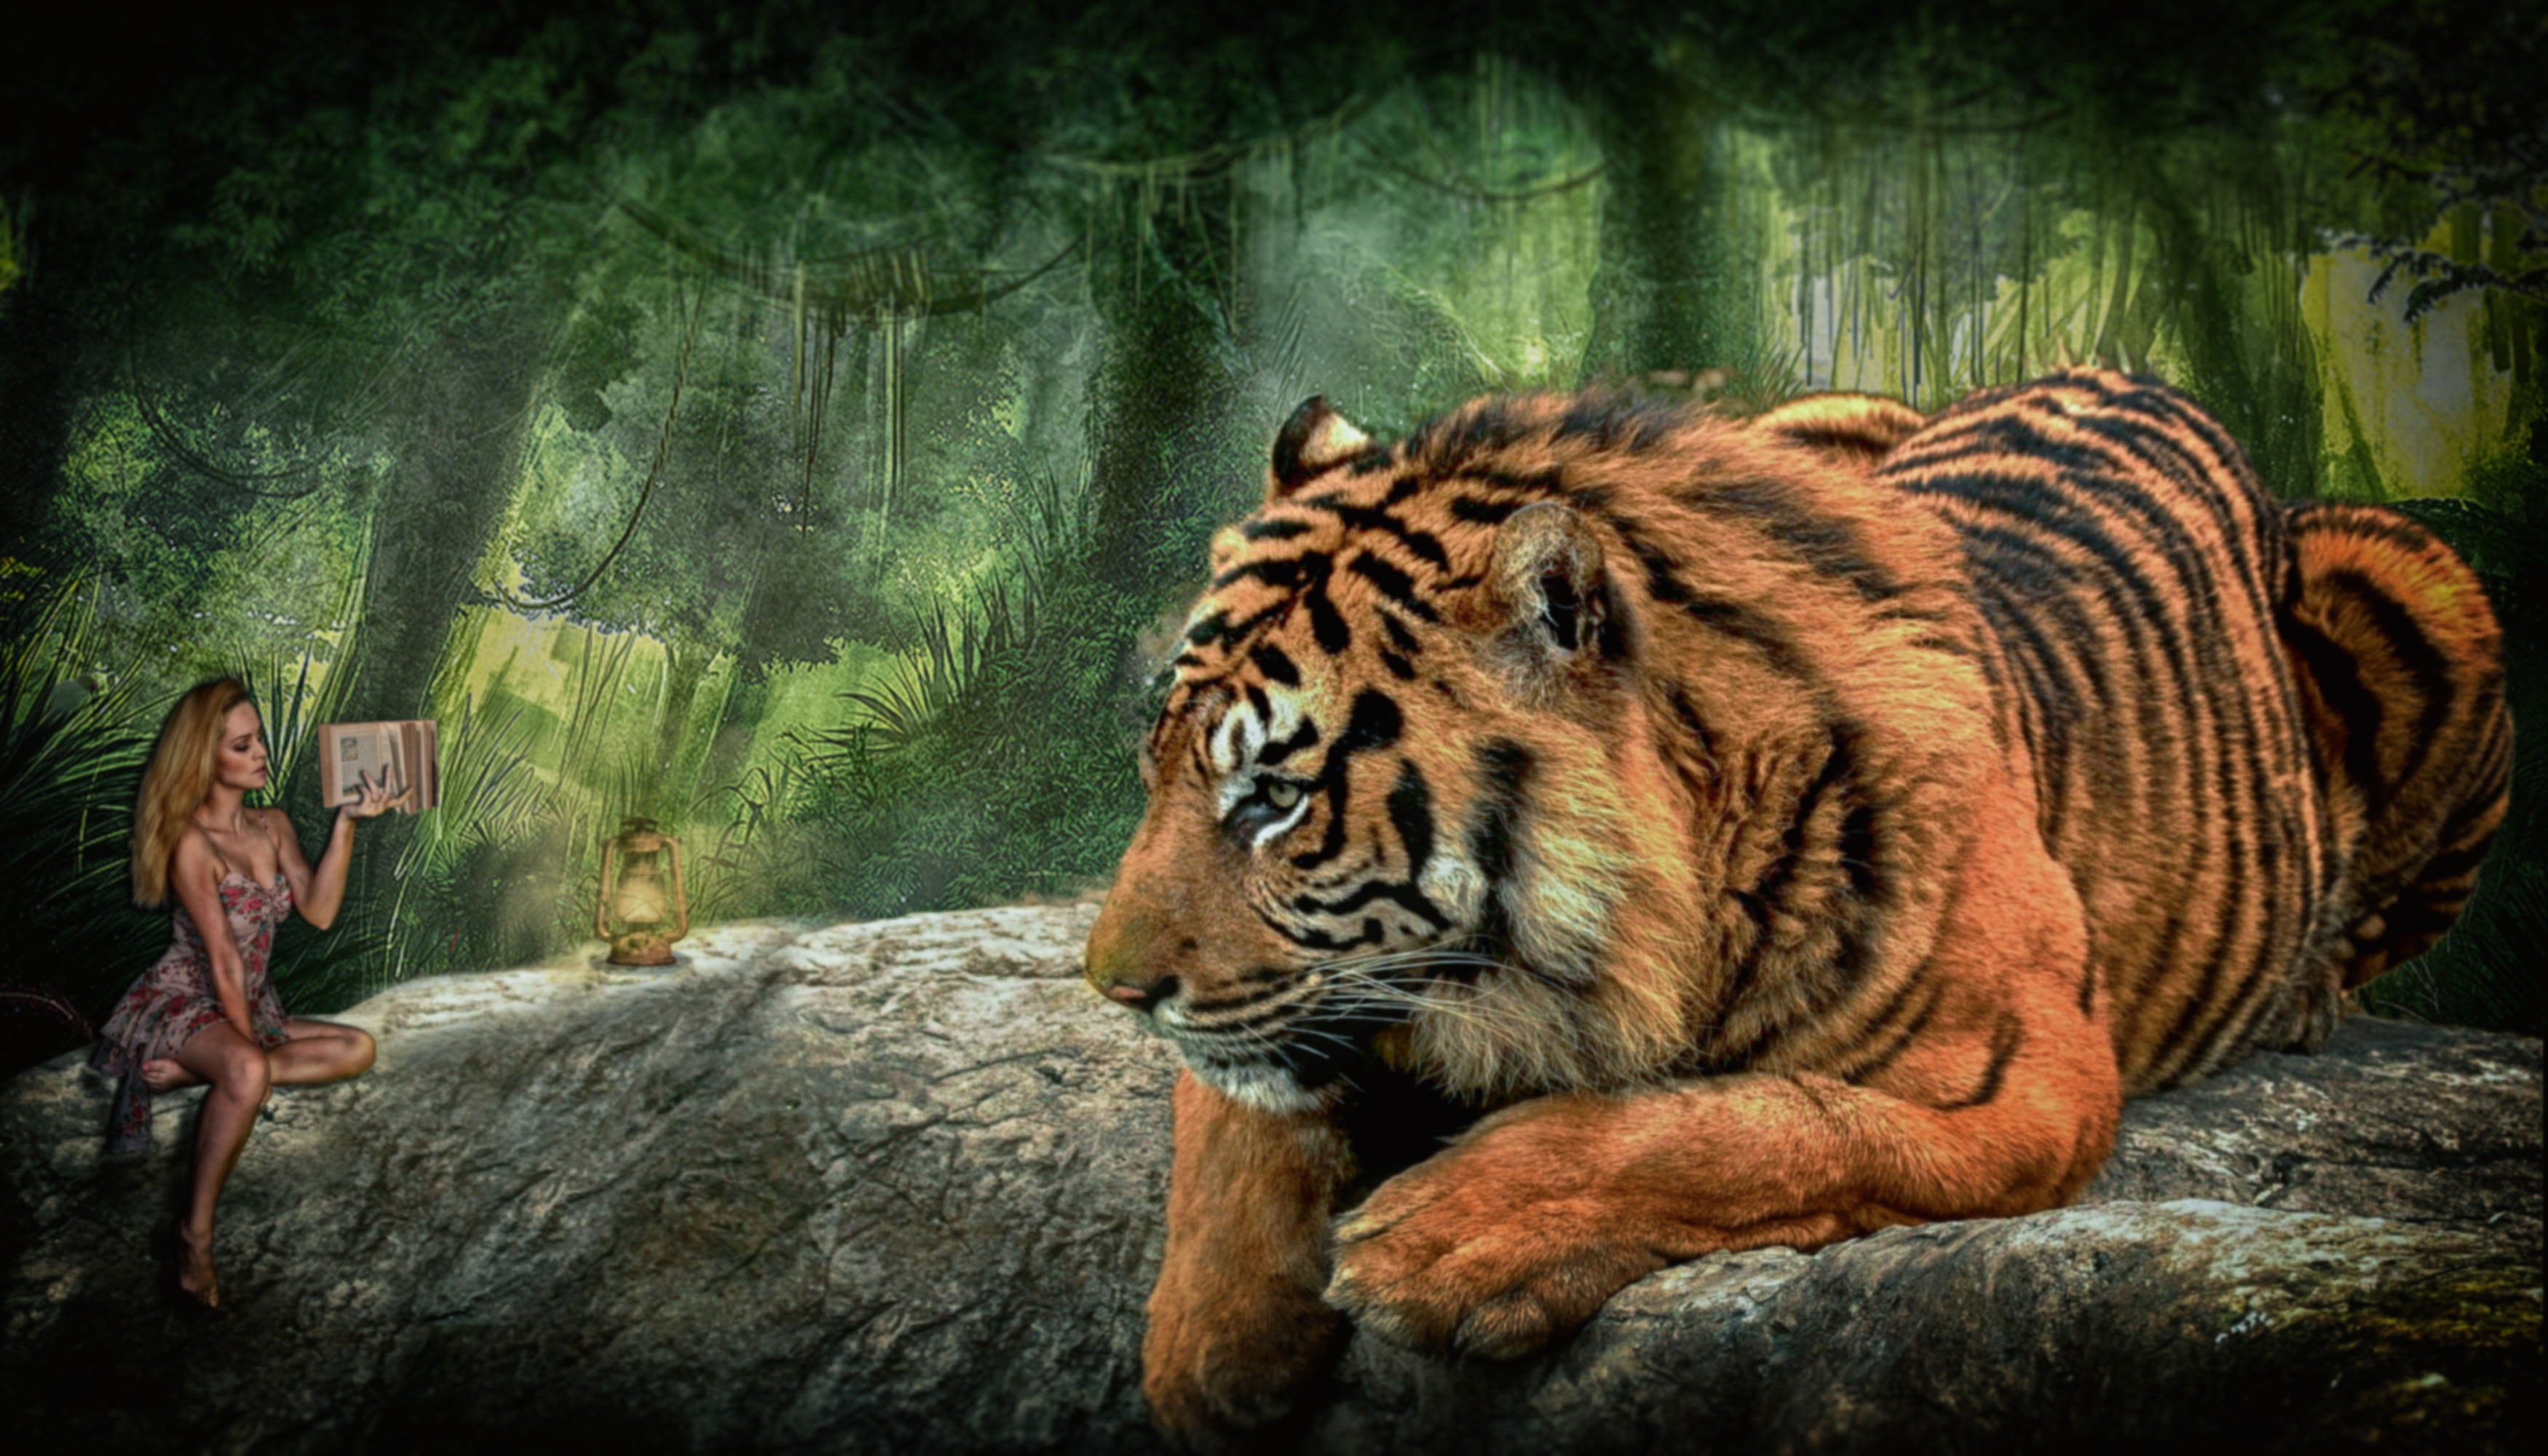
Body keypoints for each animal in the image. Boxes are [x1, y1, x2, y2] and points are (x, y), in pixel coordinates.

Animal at [1082, 367, 2511, 1446]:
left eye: (1275, 798)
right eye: (1156, 768)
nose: (1111, 988)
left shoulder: (2026, 1079)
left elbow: (1747, 1127)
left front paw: (1446, 1237)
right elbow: (1237, 1110)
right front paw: (1208, 1353)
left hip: (2427, 580)